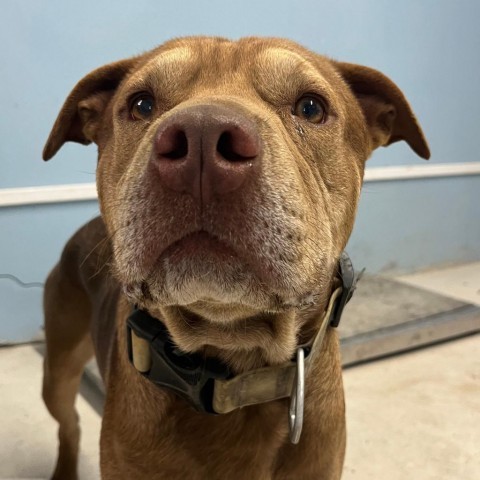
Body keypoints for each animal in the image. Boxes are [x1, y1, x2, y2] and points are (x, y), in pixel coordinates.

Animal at [42, 35, 432, 478]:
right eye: (141, 104)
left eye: (310, 107)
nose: (201, 138)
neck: (235, 361)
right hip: (57, 374)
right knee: (69, 422)